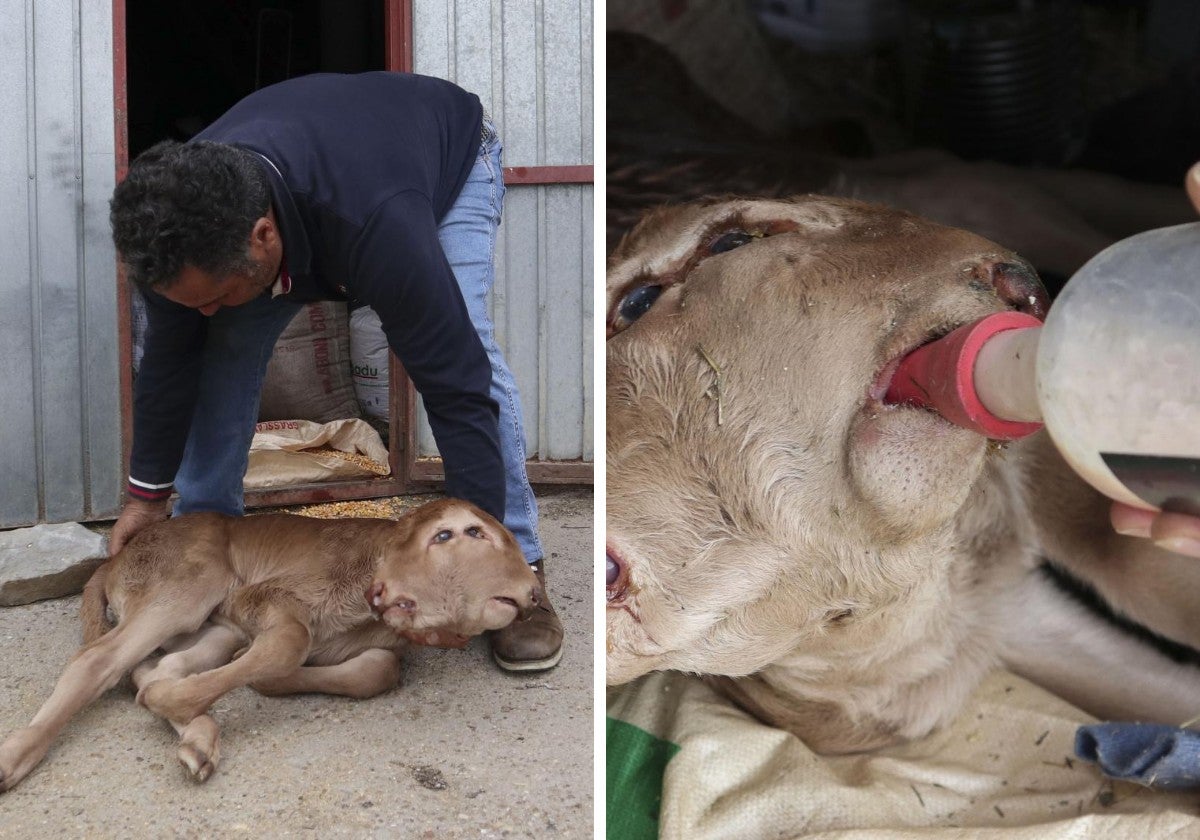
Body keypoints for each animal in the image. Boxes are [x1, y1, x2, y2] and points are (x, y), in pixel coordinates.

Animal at [0, 494, 537, 792]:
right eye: (454, 534)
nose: (531, 590)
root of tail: (116, 557)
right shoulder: (264, 596)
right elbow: (291, 642)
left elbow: (377, 670)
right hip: (191, 581)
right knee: (99, 659)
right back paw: (16, 755)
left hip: (211, 622)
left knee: (157, 667)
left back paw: (198, 738)